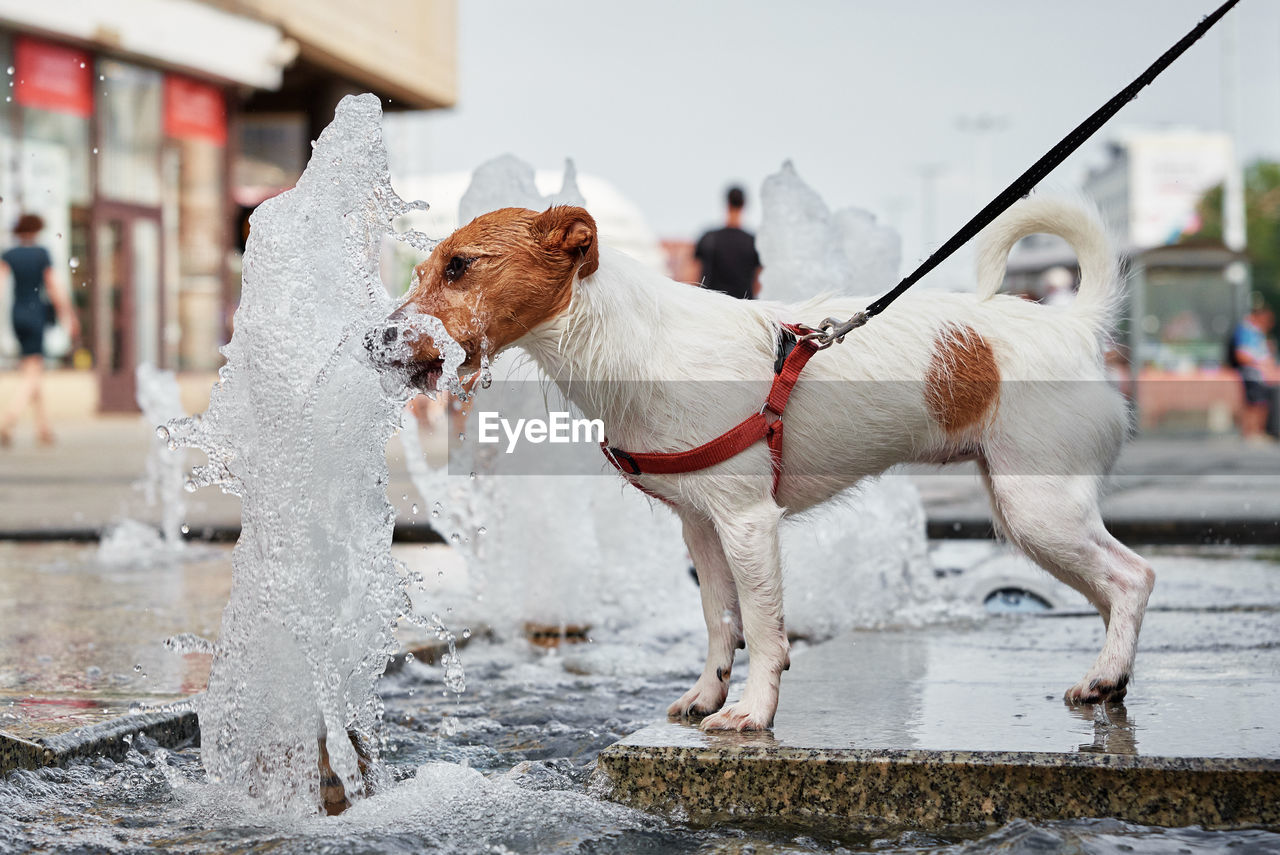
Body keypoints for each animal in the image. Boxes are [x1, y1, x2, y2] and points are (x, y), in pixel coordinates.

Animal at [373, 197, 1157, 732]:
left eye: (460, 266)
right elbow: (721, 620)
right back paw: (1108, 678)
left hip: (1038, 508)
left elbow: (764, 627)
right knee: (1109, 589)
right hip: (1030, 513)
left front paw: (751, 711)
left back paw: (1107, 671)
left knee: (1134, 577)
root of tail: (1074, 325)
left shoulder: (749, 522)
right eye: (424, 268)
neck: (636, 344)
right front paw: (707, 694)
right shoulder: (700, 526)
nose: (373, 339)